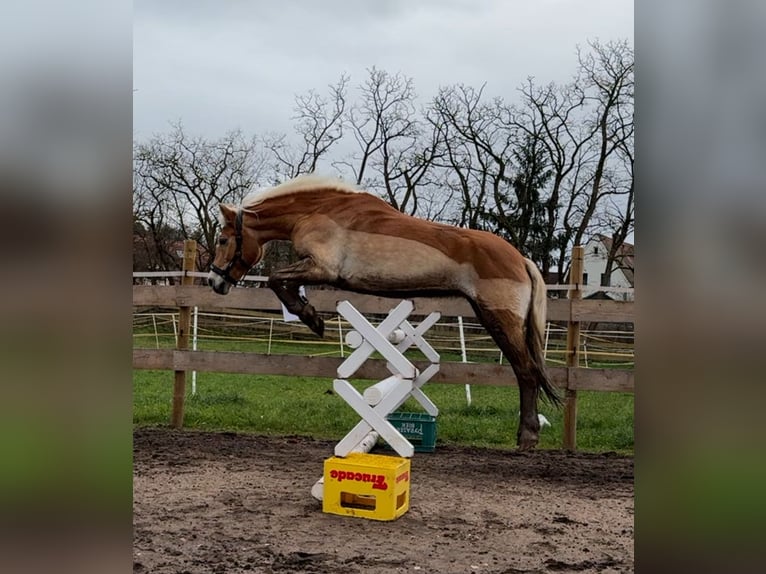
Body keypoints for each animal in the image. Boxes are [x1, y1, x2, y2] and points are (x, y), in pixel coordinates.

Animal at [207, 174, 560, 450]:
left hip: (500, 319)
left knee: (526, 372)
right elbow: (281, 282)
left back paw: (527, 436)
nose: (214, 281)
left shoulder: (322, 269)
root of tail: (520, 259)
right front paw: (311, 316)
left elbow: (276, 280)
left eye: (223, 239)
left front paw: (312, 318)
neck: (317, 211)